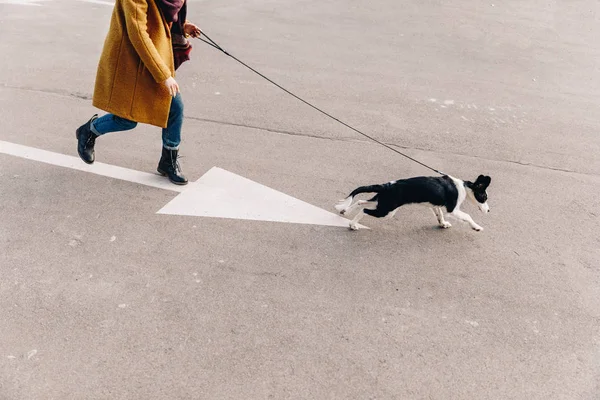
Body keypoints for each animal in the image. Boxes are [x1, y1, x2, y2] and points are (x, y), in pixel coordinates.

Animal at [336, 173, 490, 231]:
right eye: (484, 197)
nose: (489, 211)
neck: (463, 187)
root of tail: (387, 186)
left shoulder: (435, 205)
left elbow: (439, 214)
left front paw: (443, 224)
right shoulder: (453, 209)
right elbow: (468, 216)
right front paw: (477, 227)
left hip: (382, 202)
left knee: (360, 202)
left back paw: (345, 211)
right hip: (387, 210)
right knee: (364, 210)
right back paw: (352, 225)